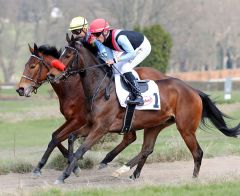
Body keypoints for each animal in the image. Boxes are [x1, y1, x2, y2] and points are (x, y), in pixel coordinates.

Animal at [15, 43, 168, 178]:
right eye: (26, 65)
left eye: (32, 66)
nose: (20, 89)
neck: (73, 87)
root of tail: (164, 76)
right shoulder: (73, 120)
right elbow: (55, 136)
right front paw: (72, 165)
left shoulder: (79, 120)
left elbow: (57, 138)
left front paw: (47, 167)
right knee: (133, 139)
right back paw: (123, 168)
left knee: (136, 141)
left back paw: (129, 170)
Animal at [47, 37, 240, 184]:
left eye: (68, 54)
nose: (51, 75)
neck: (101, 90)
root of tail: (193, 90)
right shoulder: (92, 125)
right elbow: (71, 138)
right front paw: (72, 167)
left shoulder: (101, 128)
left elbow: (81, 149)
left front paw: (63, 176)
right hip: (155, 125)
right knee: (147, 149)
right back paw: (127, 171)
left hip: (185, 128)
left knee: (197, 152)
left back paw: (193, 179)